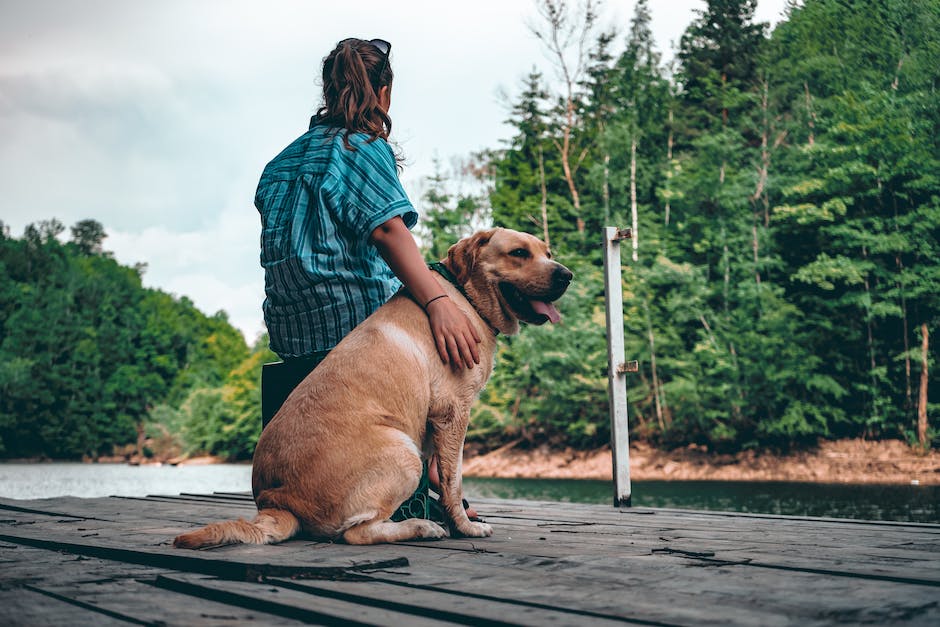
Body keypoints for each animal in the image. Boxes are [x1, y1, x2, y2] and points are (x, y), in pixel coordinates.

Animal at [174, 228, 572, 548]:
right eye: (518, 253)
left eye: (547, 252)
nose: (566, 275)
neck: (464, 296)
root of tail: (278, 502)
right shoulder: (453, 412)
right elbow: (454, 480)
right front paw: (464, 527)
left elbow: (444, 478)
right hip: (403, 452)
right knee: (356, 533)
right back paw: (421, 527)